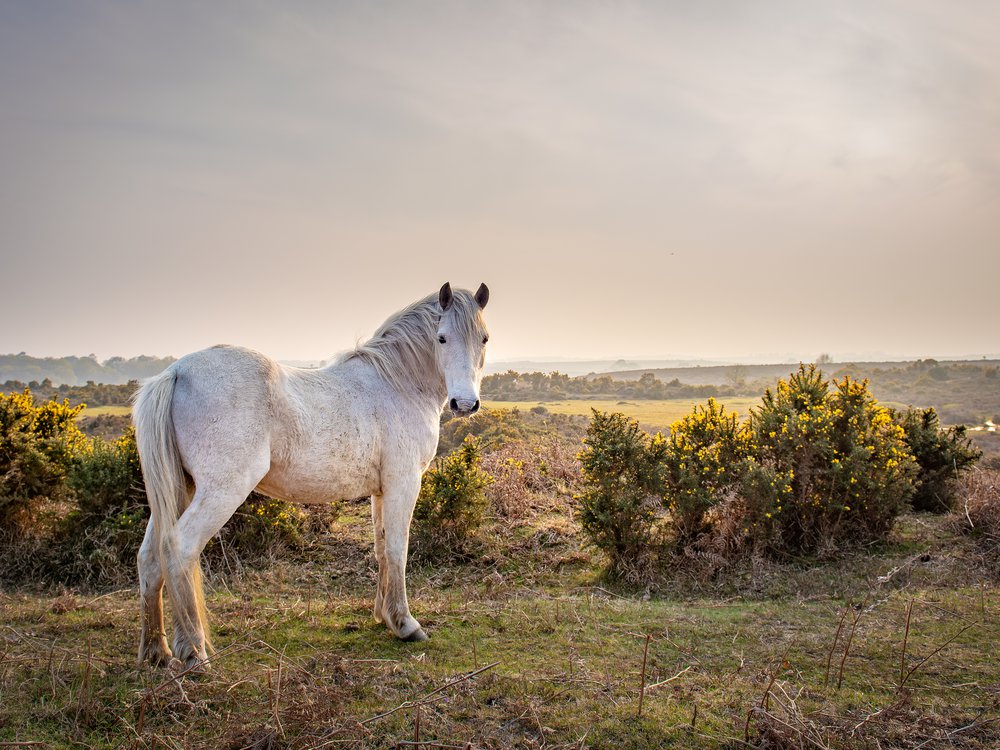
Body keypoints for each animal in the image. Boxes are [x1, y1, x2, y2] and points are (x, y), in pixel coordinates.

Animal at [133, 284, 492, 668]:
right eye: (441, 338)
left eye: (484, 339)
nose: (465, 404)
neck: (397, 383)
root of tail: (175, 372)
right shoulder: (404, 483)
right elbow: (398, 549)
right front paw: (406, 624)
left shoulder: (381, 490)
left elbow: (382, 549)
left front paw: (384, 616)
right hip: (221, 491)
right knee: (179, 548)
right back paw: (194, 653)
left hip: (178, 489)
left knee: (150, 558)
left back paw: (157, 651)